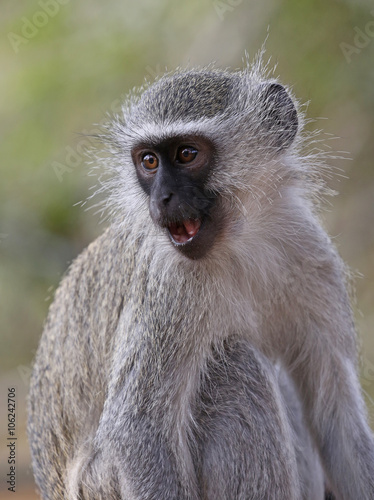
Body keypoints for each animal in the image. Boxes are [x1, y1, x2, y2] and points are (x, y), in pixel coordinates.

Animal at [28, 59, 374, 500]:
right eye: (149, 162)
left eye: (186, 154)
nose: (161, 199)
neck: (239, 243)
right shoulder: (167, 288)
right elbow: (139, 430)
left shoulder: (313, 255)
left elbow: (337, 417)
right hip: (102, 485)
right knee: (233, 363)